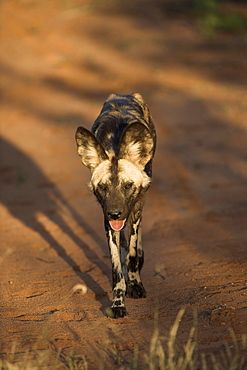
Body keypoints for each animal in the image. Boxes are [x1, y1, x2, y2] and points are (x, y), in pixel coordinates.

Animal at [75, 92, 156, 318]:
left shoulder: (134, 209)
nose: (115, 213)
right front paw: (118, 303)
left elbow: (132, 255)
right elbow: (116, 266)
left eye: (128, 185)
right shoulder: (107, 220)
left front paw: (135, 284)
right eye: (103, 187)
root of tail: (124, 94)